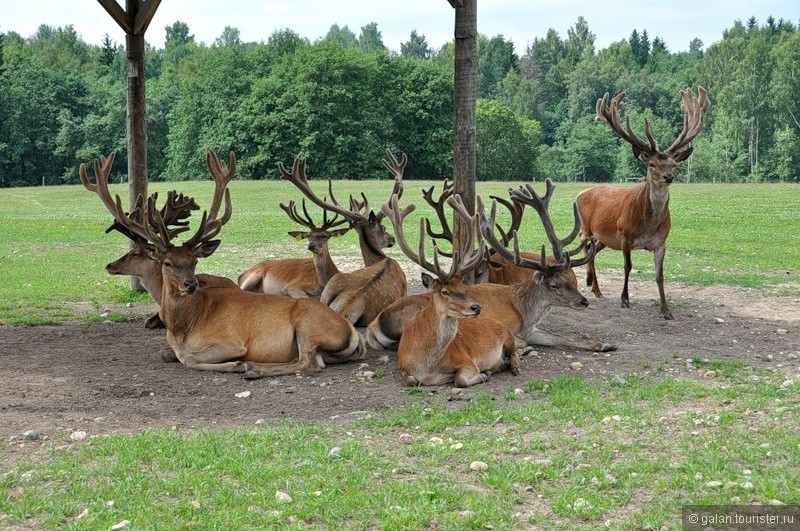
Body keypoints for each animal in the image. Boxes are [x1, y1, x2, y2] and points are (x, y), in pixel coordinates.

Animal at [80, 150, 362, 378]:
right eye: (167, 262)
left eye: (194, 261)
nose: (191, 284)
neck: (183, 327)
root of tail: (352, 331)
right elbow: (172, 354)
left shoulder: (232, 341)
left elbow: (190, 359)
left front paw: (237, 363)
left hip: (307, 325)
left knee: (309, 363)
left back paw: (254, 369)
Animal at [366, 181, 616, 356]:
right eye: (554, 284)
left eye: (571, 279)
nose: (583, 301)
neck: (524, 312)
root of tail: (374, 325)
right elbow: (522, 339)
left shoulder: (532, 330)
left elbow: (561, 338)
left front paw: (604, 344)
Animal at [380, 193, 520, 388]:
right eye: (445, 291)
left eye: (464, 288)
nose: (476, 307)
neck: (427, 367)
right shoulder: (404, 366)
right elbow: (411, 381)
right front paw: (487, 372)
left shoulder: (467, 360)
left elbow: (459, 380)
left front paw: (484, 374)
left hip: (509, 336)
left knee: (516, 353)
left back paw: (512, 366)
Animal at [576, 87, 712, 320]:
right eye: (651, 163)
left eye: (674, 164)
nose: (668, 177)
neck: (647, 225)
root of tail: (581, 193)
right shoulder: (625, 234)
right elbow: (627, 266)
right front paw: (624, 299)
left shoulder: (661, 242)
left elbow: (660, 275)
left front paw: (666, 310)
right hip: (587, 227)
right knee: (584, 245)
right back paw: (591, 284)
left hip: (603, 237)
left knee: (592, 251)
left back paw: (594, 287)